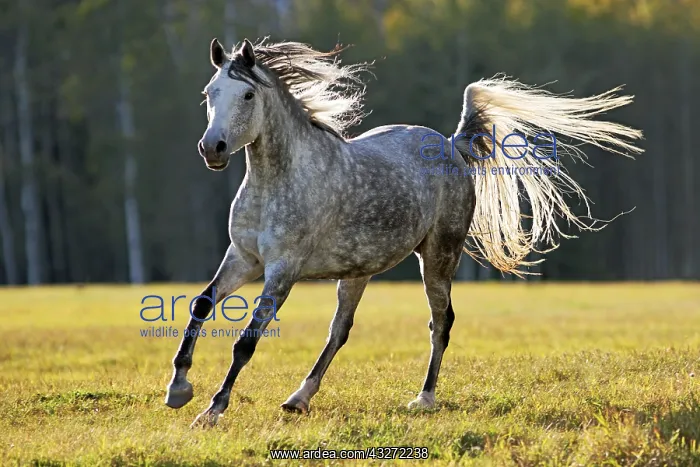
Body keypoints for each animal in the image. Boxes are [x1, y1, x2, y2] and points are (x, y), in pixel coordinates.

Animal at [164, 37, 643, 428]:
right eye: (209, 93)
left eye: (247, 94)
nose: (212, 149)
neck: (278, 181)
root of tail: (452, 145)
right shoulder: (243, 259)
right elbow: (201, 304)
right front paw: (178, 389)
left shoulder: (282, 271)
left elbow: (245, 342)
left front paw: (212, 408)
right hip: (357, 273)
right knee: (339, 332)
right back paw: (299, 398)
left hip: (438, 257)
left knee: (440, 321)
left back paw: (424, 398)